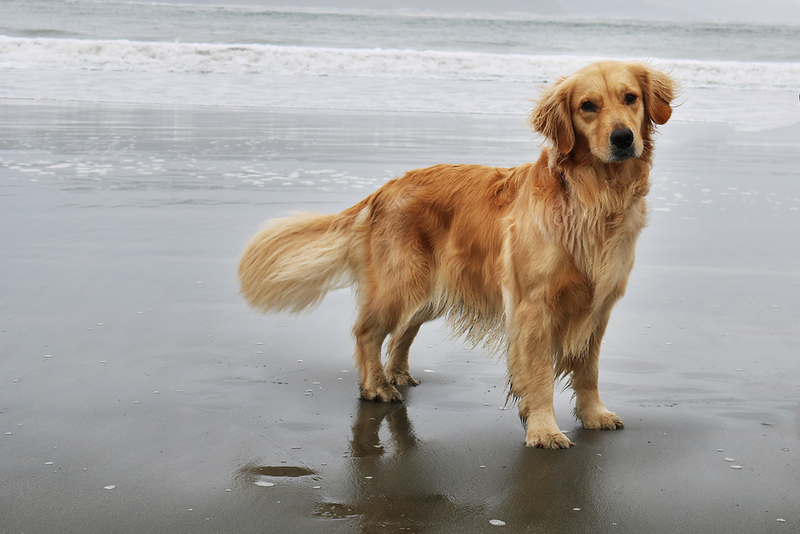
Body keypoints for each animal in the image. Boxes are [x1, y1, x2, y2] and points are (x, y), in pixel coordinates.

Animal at [238, 60, 676, 450]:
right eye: (587, 106)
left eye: (631, 98)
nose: (623, 138)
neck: (593, 196)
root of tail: (384, 189)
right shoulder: (533, 306)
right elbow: (539, 375)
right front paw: (544, 430)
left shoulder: (597, 305)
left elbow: (589, 370)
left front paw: (593, 414)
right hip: (401, 282)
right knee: (367, 332)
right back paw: (376, 386)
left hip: (429, 292)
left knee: (401, 332)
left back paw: (397, 374)